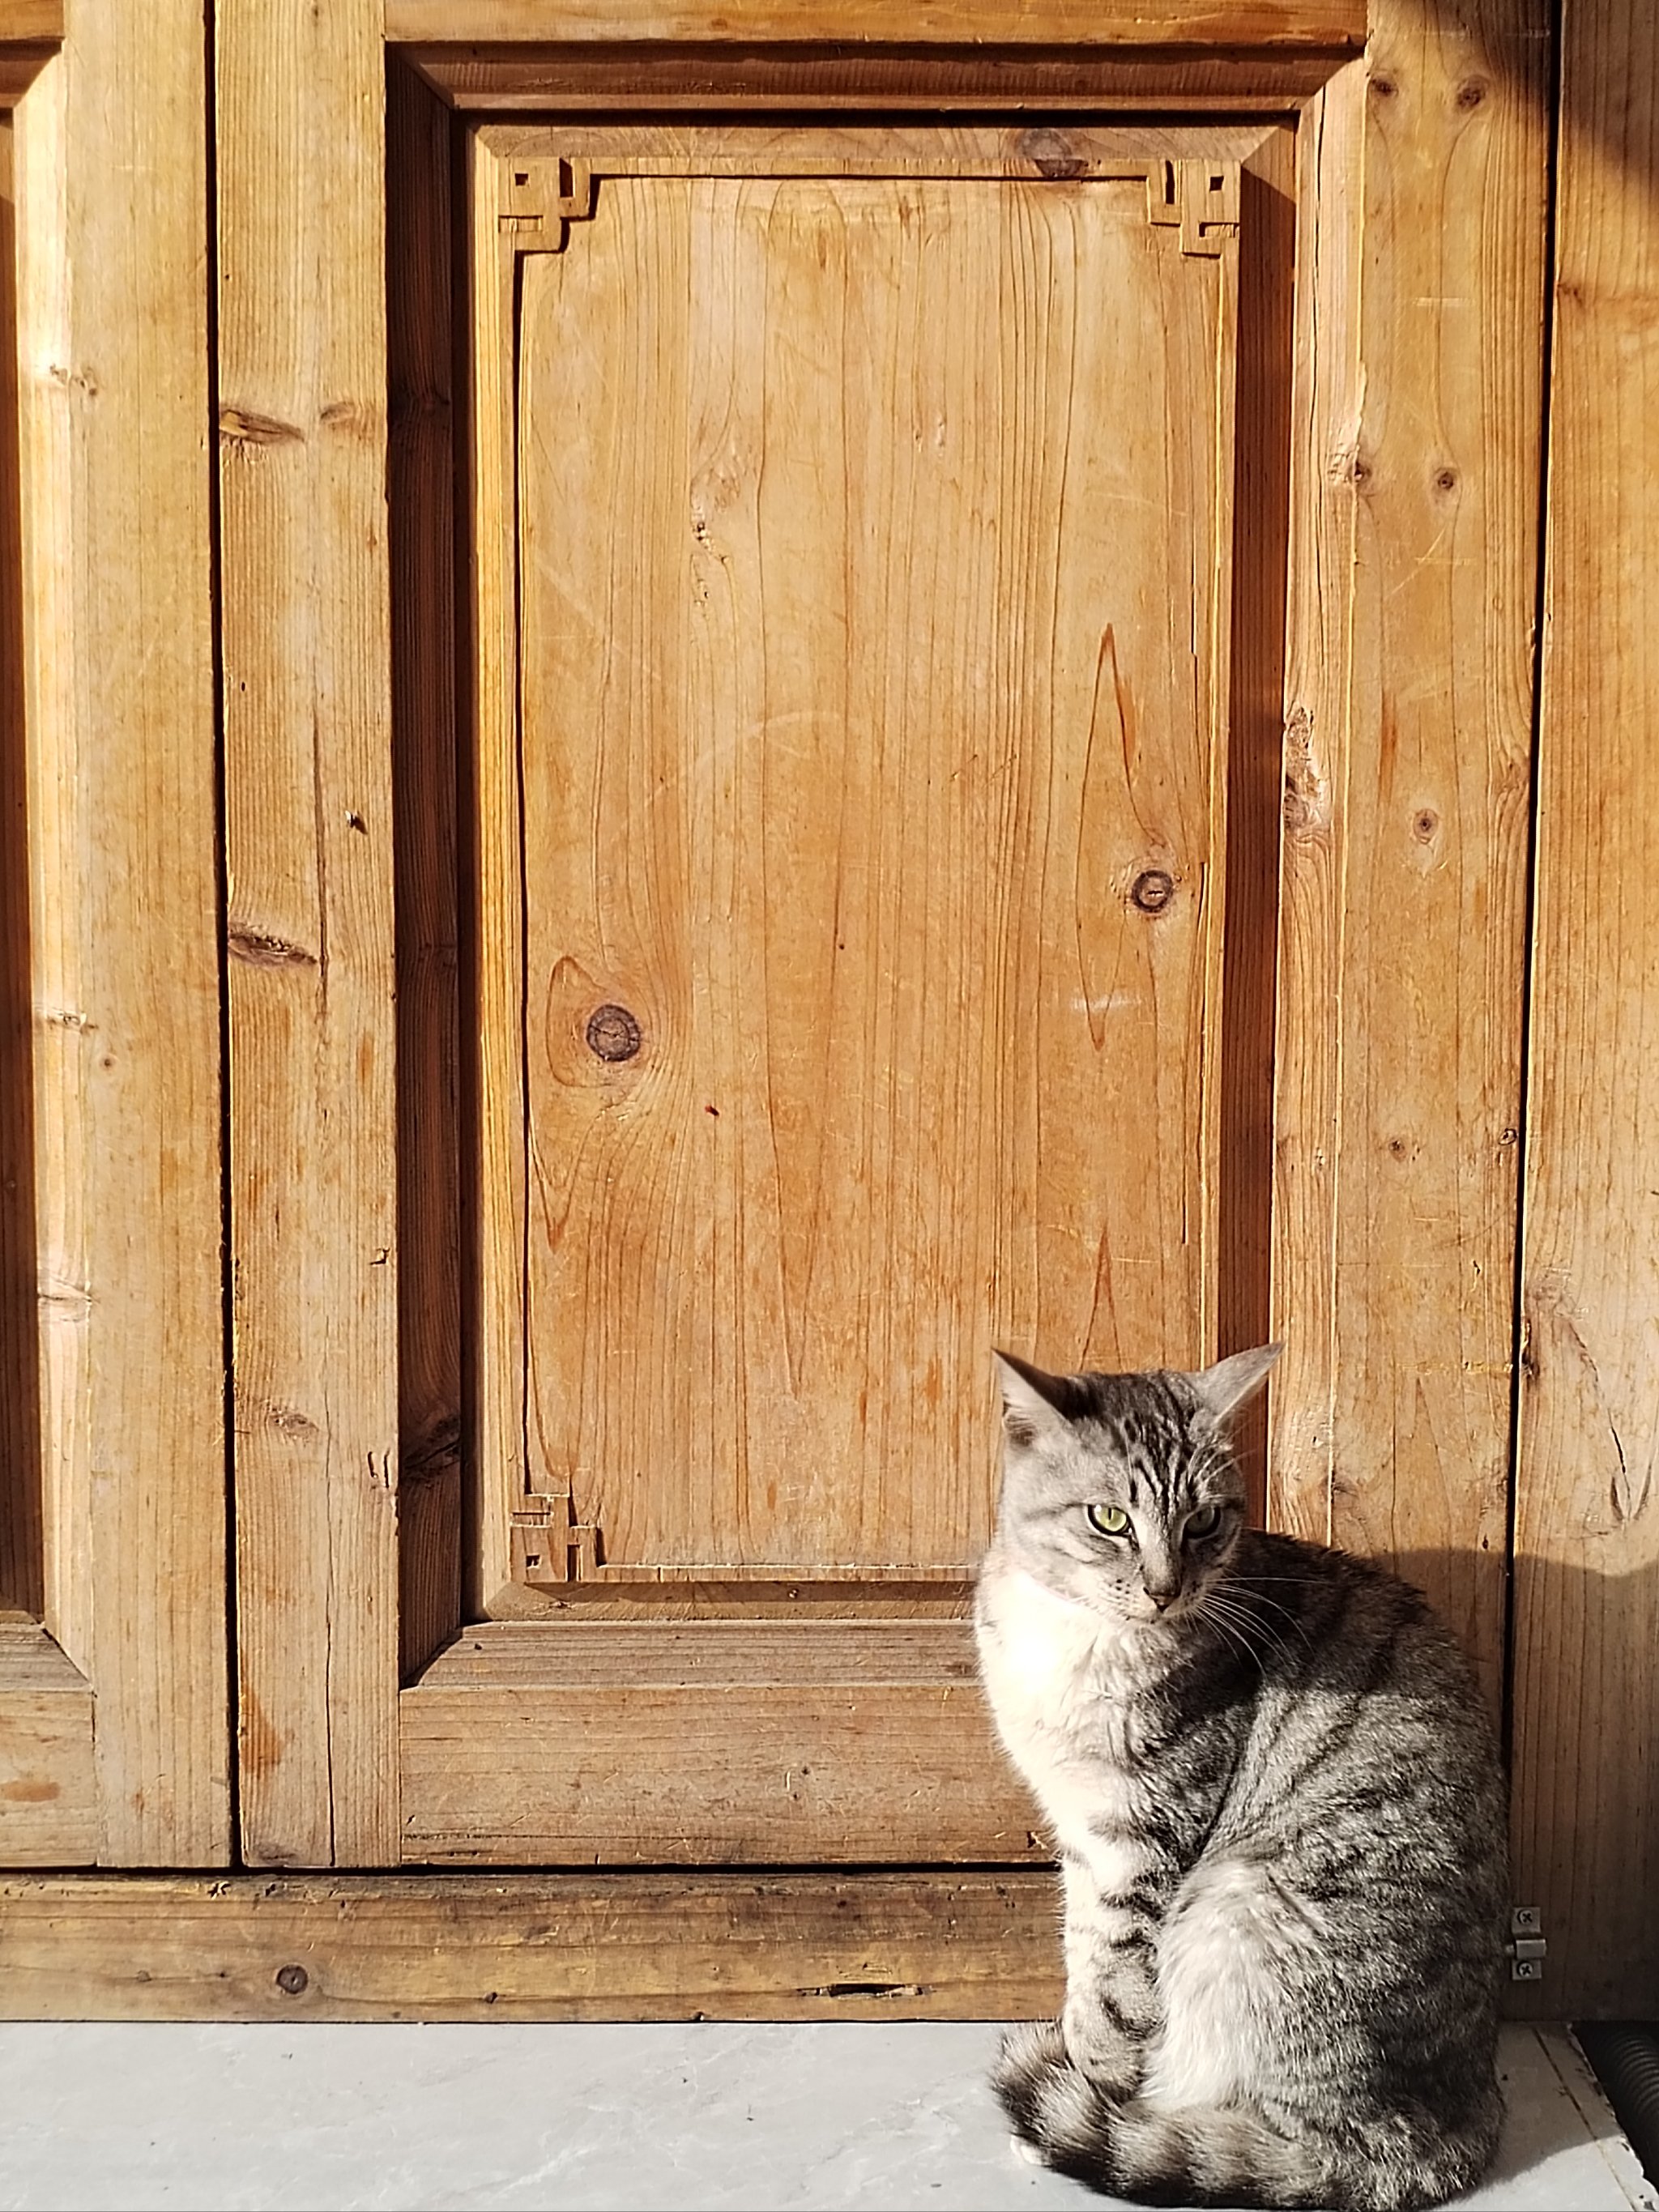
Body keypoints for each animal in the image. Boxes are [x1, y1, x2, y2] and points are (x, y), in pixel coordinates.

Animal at [982, 1336, 1512, 2203]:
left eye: (1204, 1520)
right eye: (1109, 1518)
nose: (1165, 1589)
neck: (1075, 1637)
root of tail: (1457, 2126)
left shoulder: (1148, 1833)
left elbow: (1114, 1987)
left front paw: (1089, 2089)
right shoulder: (1084, 1837)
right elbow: (1083, 1956)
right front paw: (1077, 2059)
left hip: (1240, 1906)